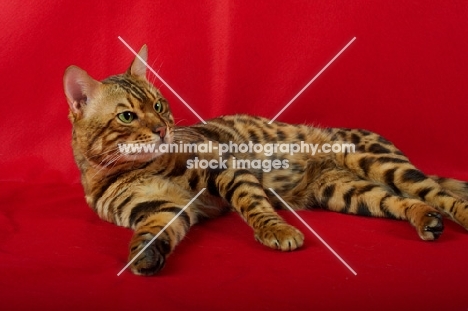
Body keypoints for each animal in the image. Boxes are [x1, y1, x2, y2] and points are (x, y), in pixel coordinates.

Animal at [63, 45, 468, 276]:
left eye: (160, 105)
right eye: (127, 116)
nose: (163, 129)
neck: (134, 168)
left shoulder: (224, 166)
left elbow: (253, 203)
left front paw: (277, 230)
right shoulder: (160, 207)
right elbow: (153, 232)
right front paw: (144, 255)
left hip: (379, 162)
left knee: (438, 193)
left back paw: (455, 213)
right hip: (347, 193)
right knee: (404, 201)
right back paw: (426, 220)